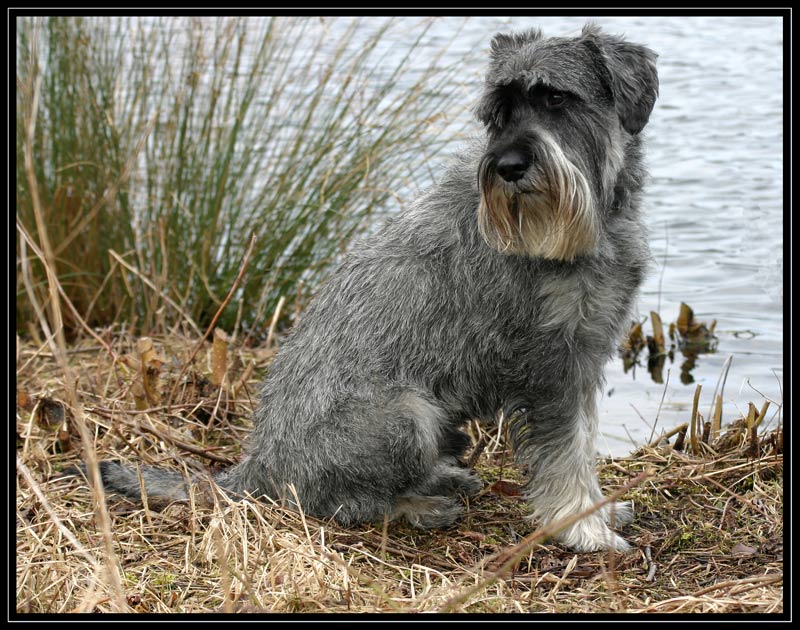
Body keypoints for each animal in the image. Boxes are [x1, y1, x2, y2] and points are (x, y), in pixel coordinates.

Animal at [90, 22, 660, 552]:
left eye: (556, 99)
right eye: (497, 114)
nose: (507, 166)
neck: (593, 222)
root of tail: (257, 465)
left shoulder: (585, 354)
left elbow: (583, 440)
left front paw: (601, 513)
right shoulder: (550, 366)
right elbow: (566, 453)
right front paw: (585, 529)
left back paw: (443, 476)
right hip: (407, 416)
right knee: (335, 501)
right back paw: (418, 505)